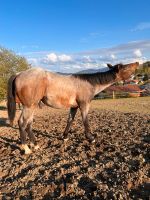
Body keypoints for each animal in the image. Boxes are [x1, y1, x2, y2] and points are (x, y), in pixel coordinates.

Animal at [7, 61, 138, 154]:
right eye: (124, 68)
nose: (137, 62)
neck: (88, 83)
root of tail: (18, 74)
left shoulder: (74, 107)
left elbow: (70, 120)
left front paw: (65, 137)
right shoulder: (84, 105)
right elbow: (85, 121)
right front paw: (91, 138)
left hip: (33, 106)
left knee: (29, 124)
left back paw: (35, 145)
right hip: (29, 106)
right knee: (22, 123)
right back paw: (26, 148)